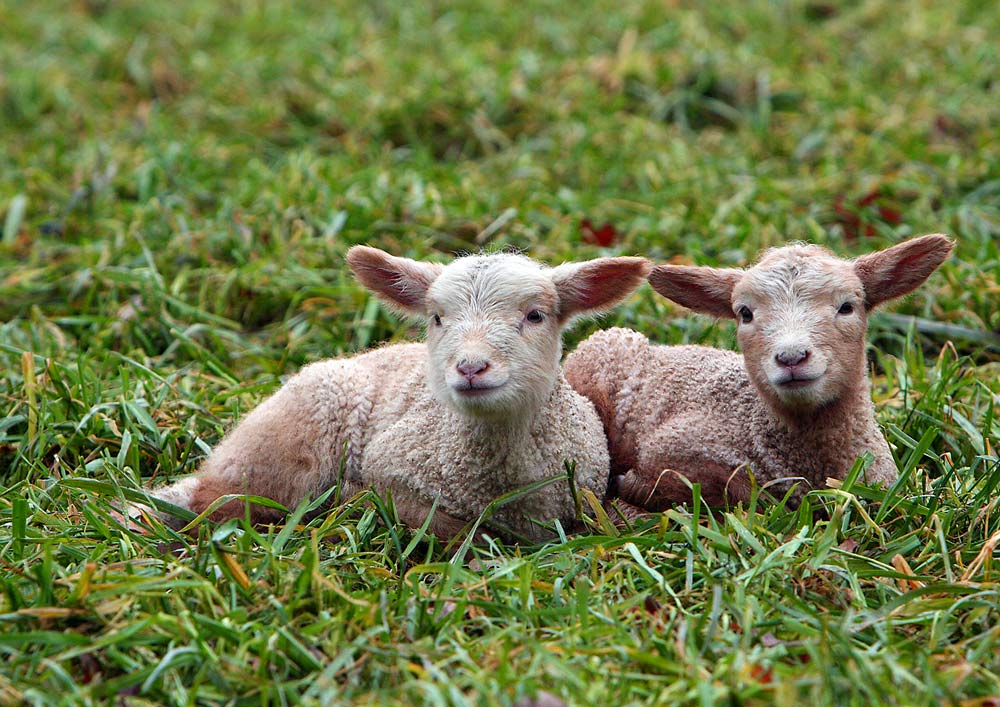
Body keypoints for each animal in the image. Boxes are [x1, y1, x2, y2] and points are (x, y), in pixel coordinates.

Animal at [145, 248, 652, 544]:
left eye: (535, 315)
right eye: (437, 318)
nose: (470, 368)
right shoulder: (391, 469)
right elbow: (450, 530)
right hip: (285, 443)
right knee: (218, 500)